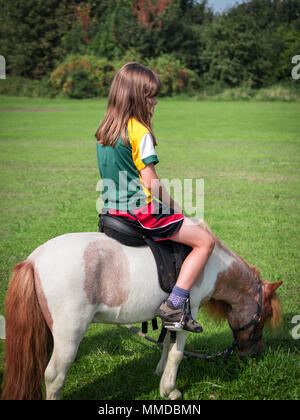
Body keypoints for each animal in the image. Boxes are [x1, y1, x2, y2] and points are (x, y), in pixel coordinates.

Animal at [0, 220, 282, 400]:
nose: (256, 353)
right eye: (263, 317)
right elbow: (177, 354)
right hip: (69, 335)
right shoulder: (189, 315)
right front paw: (169, 390)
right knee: (54, 376)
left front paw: (160, 373)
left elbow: (167, 345)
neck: (212, 263)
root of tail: (34, 259)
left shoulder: (171, 316)